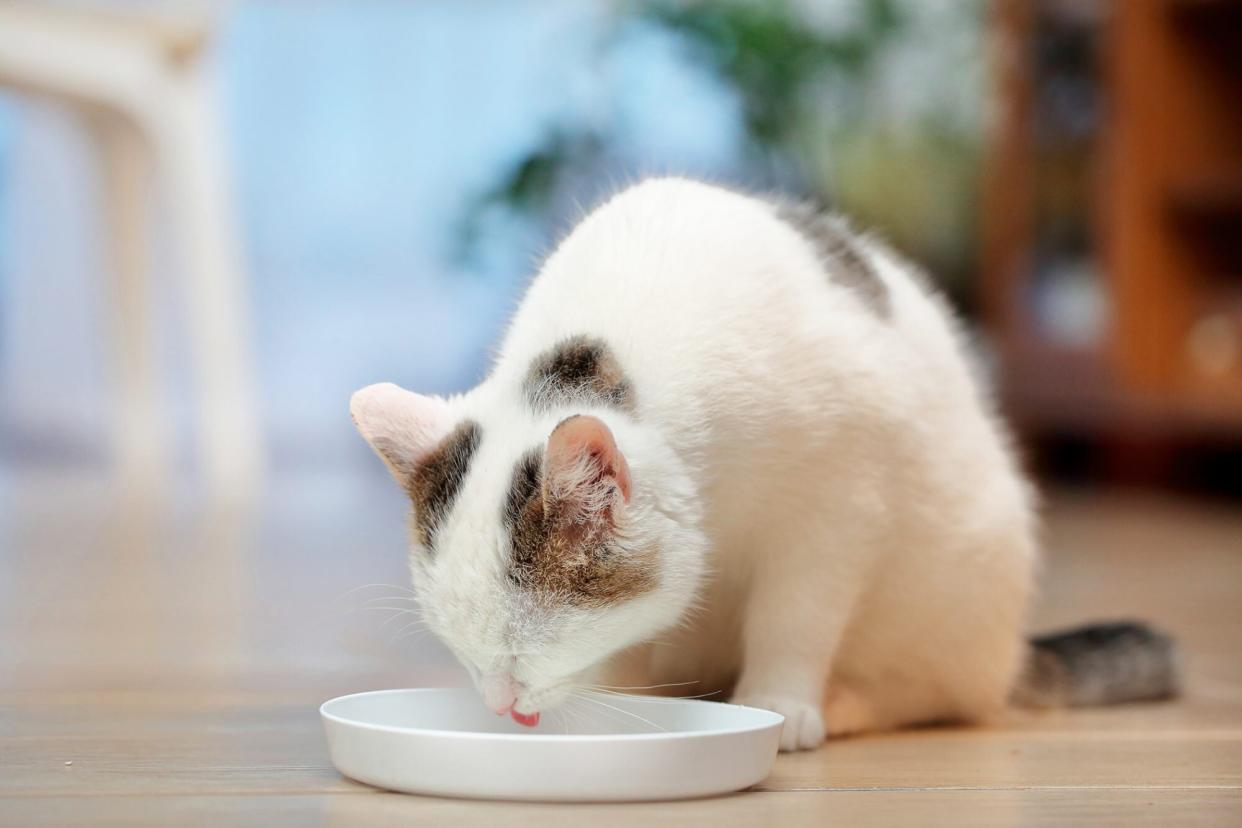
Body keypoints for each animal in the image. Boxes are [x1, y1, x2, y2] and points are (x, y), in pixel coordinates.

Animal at [347, 178, 1172, 754]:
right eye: (460, 647)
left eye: (527, 646)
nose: (500, 704)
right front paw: (622, 701)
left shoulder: (839, 506)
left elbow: (797, 614)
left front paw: (782, 701)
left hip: (961, 577)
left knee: (943, 691)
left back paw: (843, 704)